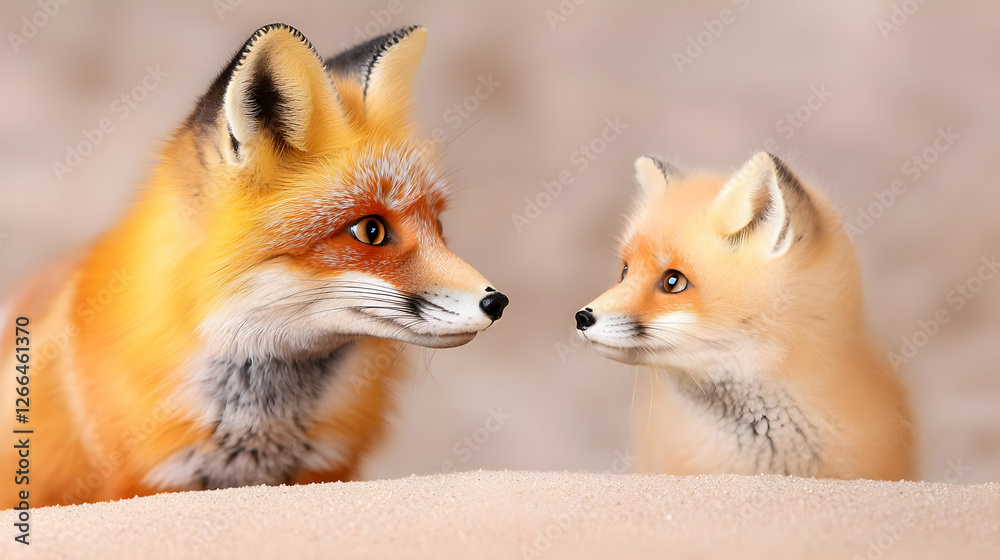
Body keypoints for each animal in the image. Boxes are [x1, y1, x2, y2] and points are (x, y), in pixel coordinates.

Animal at [0, 23, 509, 508]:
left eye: (437, 225)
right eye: (370, 230)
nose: (498, 302)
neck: (260, 431)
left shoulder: (328, 470)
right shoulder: (148, 479)